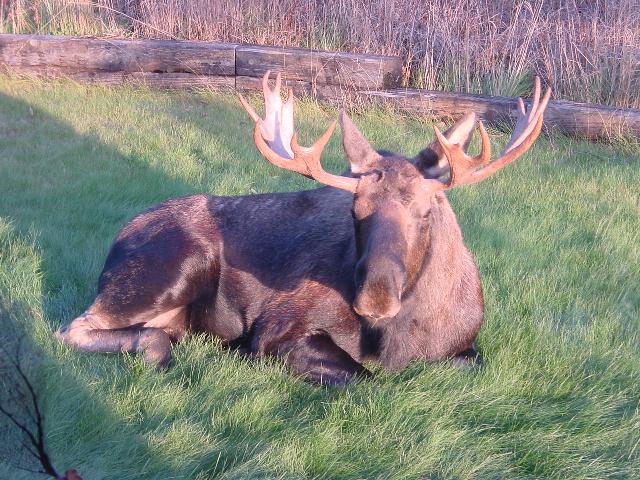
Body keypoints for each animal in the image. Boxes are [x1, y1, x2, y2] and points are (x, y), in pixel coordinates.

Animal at [56, 72, 550, 385]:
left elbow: (470, 364)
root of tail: (117, 242)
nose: (375, 297)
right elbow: (368, 381)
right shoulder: (281, 327)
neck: (402, 334)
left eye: (429, 209)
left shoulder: (467, 348)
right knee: (75, 328)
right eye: (354, 209)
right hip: (174, 266)